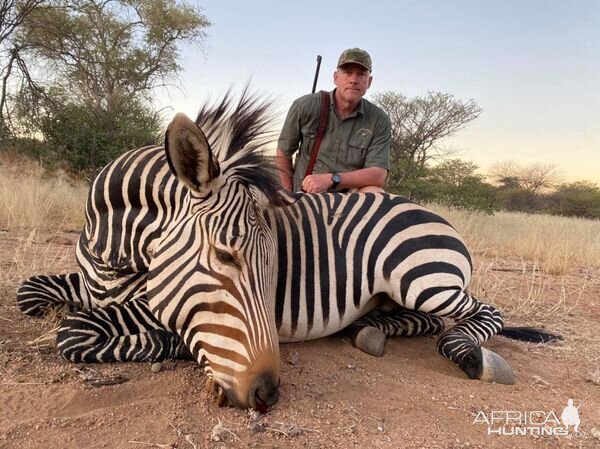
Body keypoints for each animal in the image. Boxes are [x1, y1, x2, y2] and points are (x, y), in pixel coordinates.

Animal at [16, 89, 560, 412]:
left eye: (273, 264)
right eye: (226, 257)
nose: (267, 393)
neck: (113, 253)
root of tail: (432, 213)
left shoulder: (151, 305)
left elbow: (73, 333)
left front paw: (179, 347)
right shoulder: (85, 282)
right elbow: (30, 292)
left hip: (420, 277)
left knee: (481, 313)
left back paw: (471, 355)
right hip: (401, 292)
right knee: (422, 321)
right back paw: (368, 331)